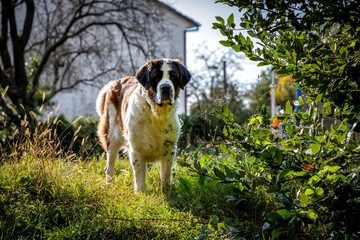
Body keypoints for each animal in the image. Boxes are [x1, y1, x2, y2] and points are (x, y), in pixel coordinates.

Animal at [95, 59, 191, 192]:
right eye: (156, 77)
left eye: (173, 76)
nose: (165, 87)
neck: (156, 115)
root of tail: (115, 83)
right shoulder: (136, 149)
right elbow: (139, 175)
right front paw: (141, 193)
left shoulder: (169, 149)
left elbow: (166, 174)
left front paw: (166, 191)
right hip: (112, 137)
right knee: (109, 166)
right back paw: (109, 186)